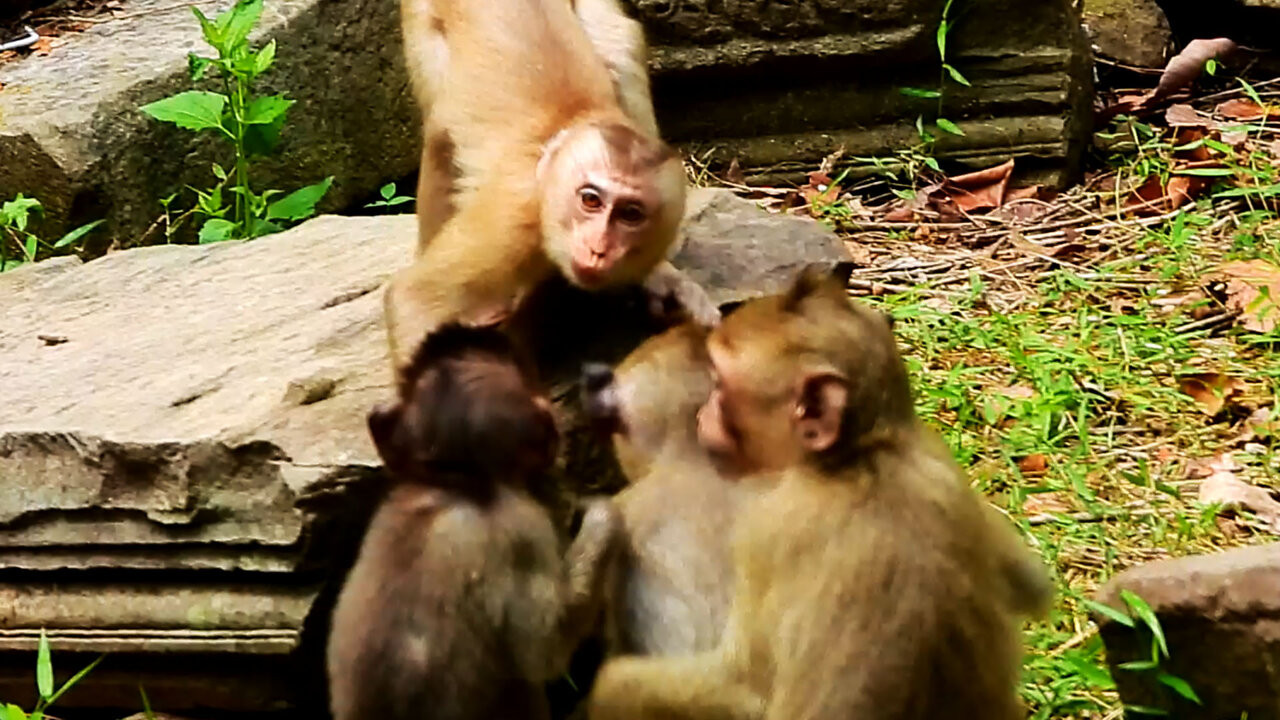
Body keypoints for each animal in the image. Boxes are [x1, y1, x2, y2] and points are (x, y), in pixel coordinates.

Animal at [387, 0, 719, 380]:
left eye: (631, 215)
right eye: (590, 200)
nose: (598, 249)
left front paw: (658, 276)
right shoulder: (515, 217)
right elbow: (414, 301)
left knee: (620, 43)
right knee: (441, 132)